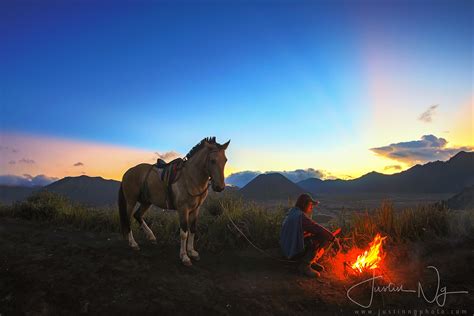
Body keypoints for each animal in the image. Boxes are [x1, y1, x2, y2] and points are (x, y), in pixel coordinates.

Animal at [118, 137, 230, 266]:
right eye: (212, 161)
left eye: (225, 160)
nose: (220, 187)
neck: (190, 178)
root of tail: (128, 172)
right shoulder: (183, 209)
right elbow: (184, 233)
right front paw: (184, 256)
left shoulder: (196, 209)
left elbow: (192, 230)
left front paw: (192, 252)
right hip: (131, 201)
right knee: (128, 219)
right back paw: (133, 243)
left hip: (146, 202)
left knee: (137, 215)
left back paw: (151, 237)